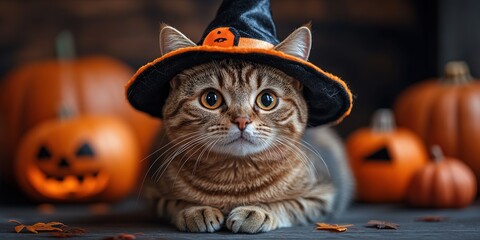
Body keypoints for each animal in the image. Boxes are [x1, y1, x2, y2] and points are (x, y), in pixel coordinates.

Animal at [142, 25, 352, 233]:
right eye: (211, 98)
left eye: (267, 99)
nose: (242, 120)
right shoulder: (155, 194)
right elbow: (174, 203)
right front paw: (196, 210)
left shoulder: (323, 195)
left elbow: (289, 205)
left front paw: (256, 211)